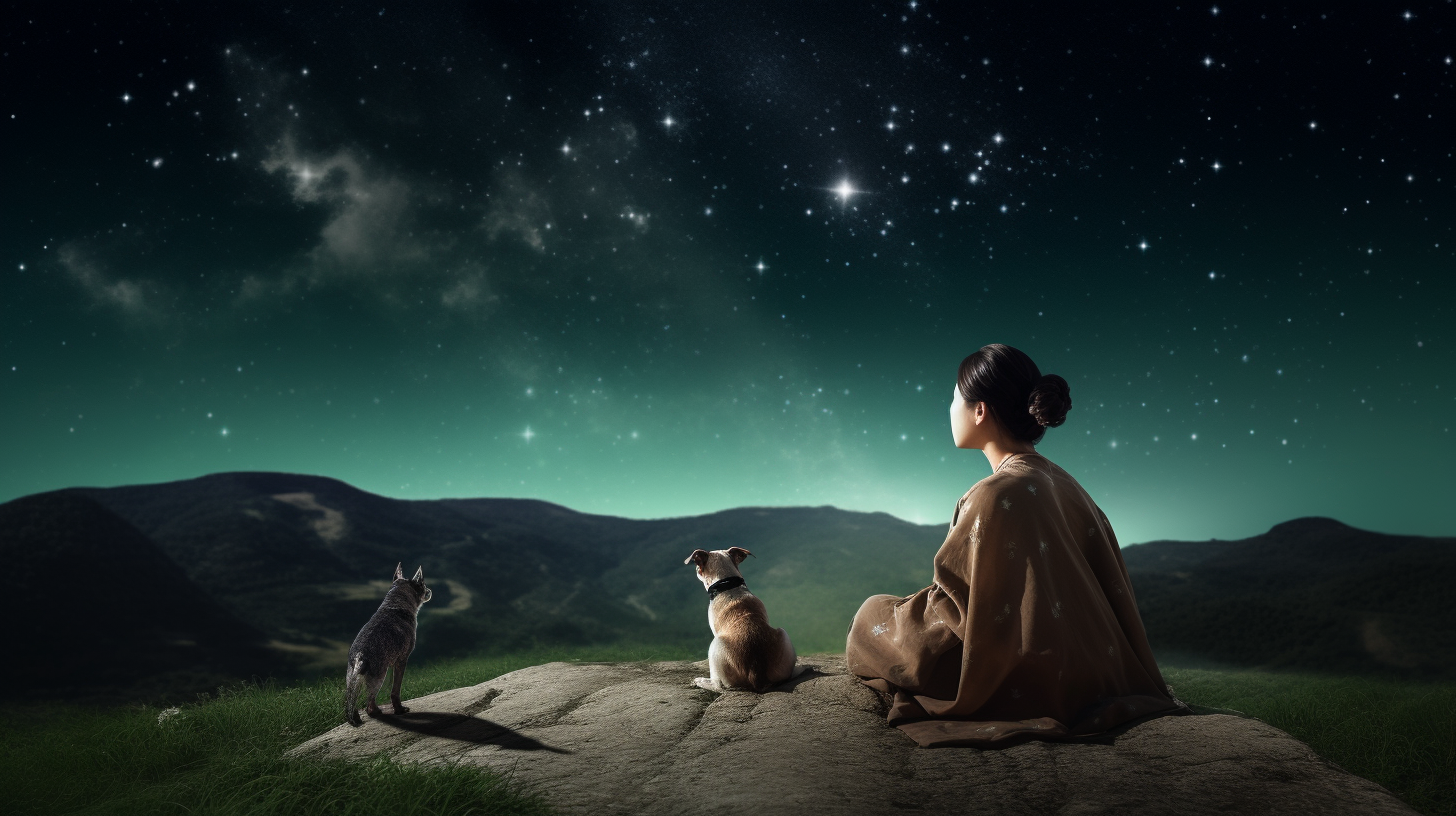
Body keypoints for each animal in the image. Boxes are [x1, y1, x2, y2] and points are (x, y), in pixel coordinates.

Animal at [345, 559, 430, 725]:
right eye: (422, 584)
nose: (430, 590)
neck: (395, 604)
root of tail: (359, 655)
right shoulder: (401, 661)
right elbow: (395, 690)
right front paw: (399, 710)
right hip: (379, 677)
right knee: (369, 704)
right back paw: (378, 712)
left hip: (352, 678)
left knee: (352, 701)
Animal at [684, 547, 803, 687]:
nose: (696, 569)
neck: (728, 585)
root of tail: (756, 675)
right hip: (783, 634)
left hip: (715, 645)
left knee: (717, 685)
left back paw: (700, 681)